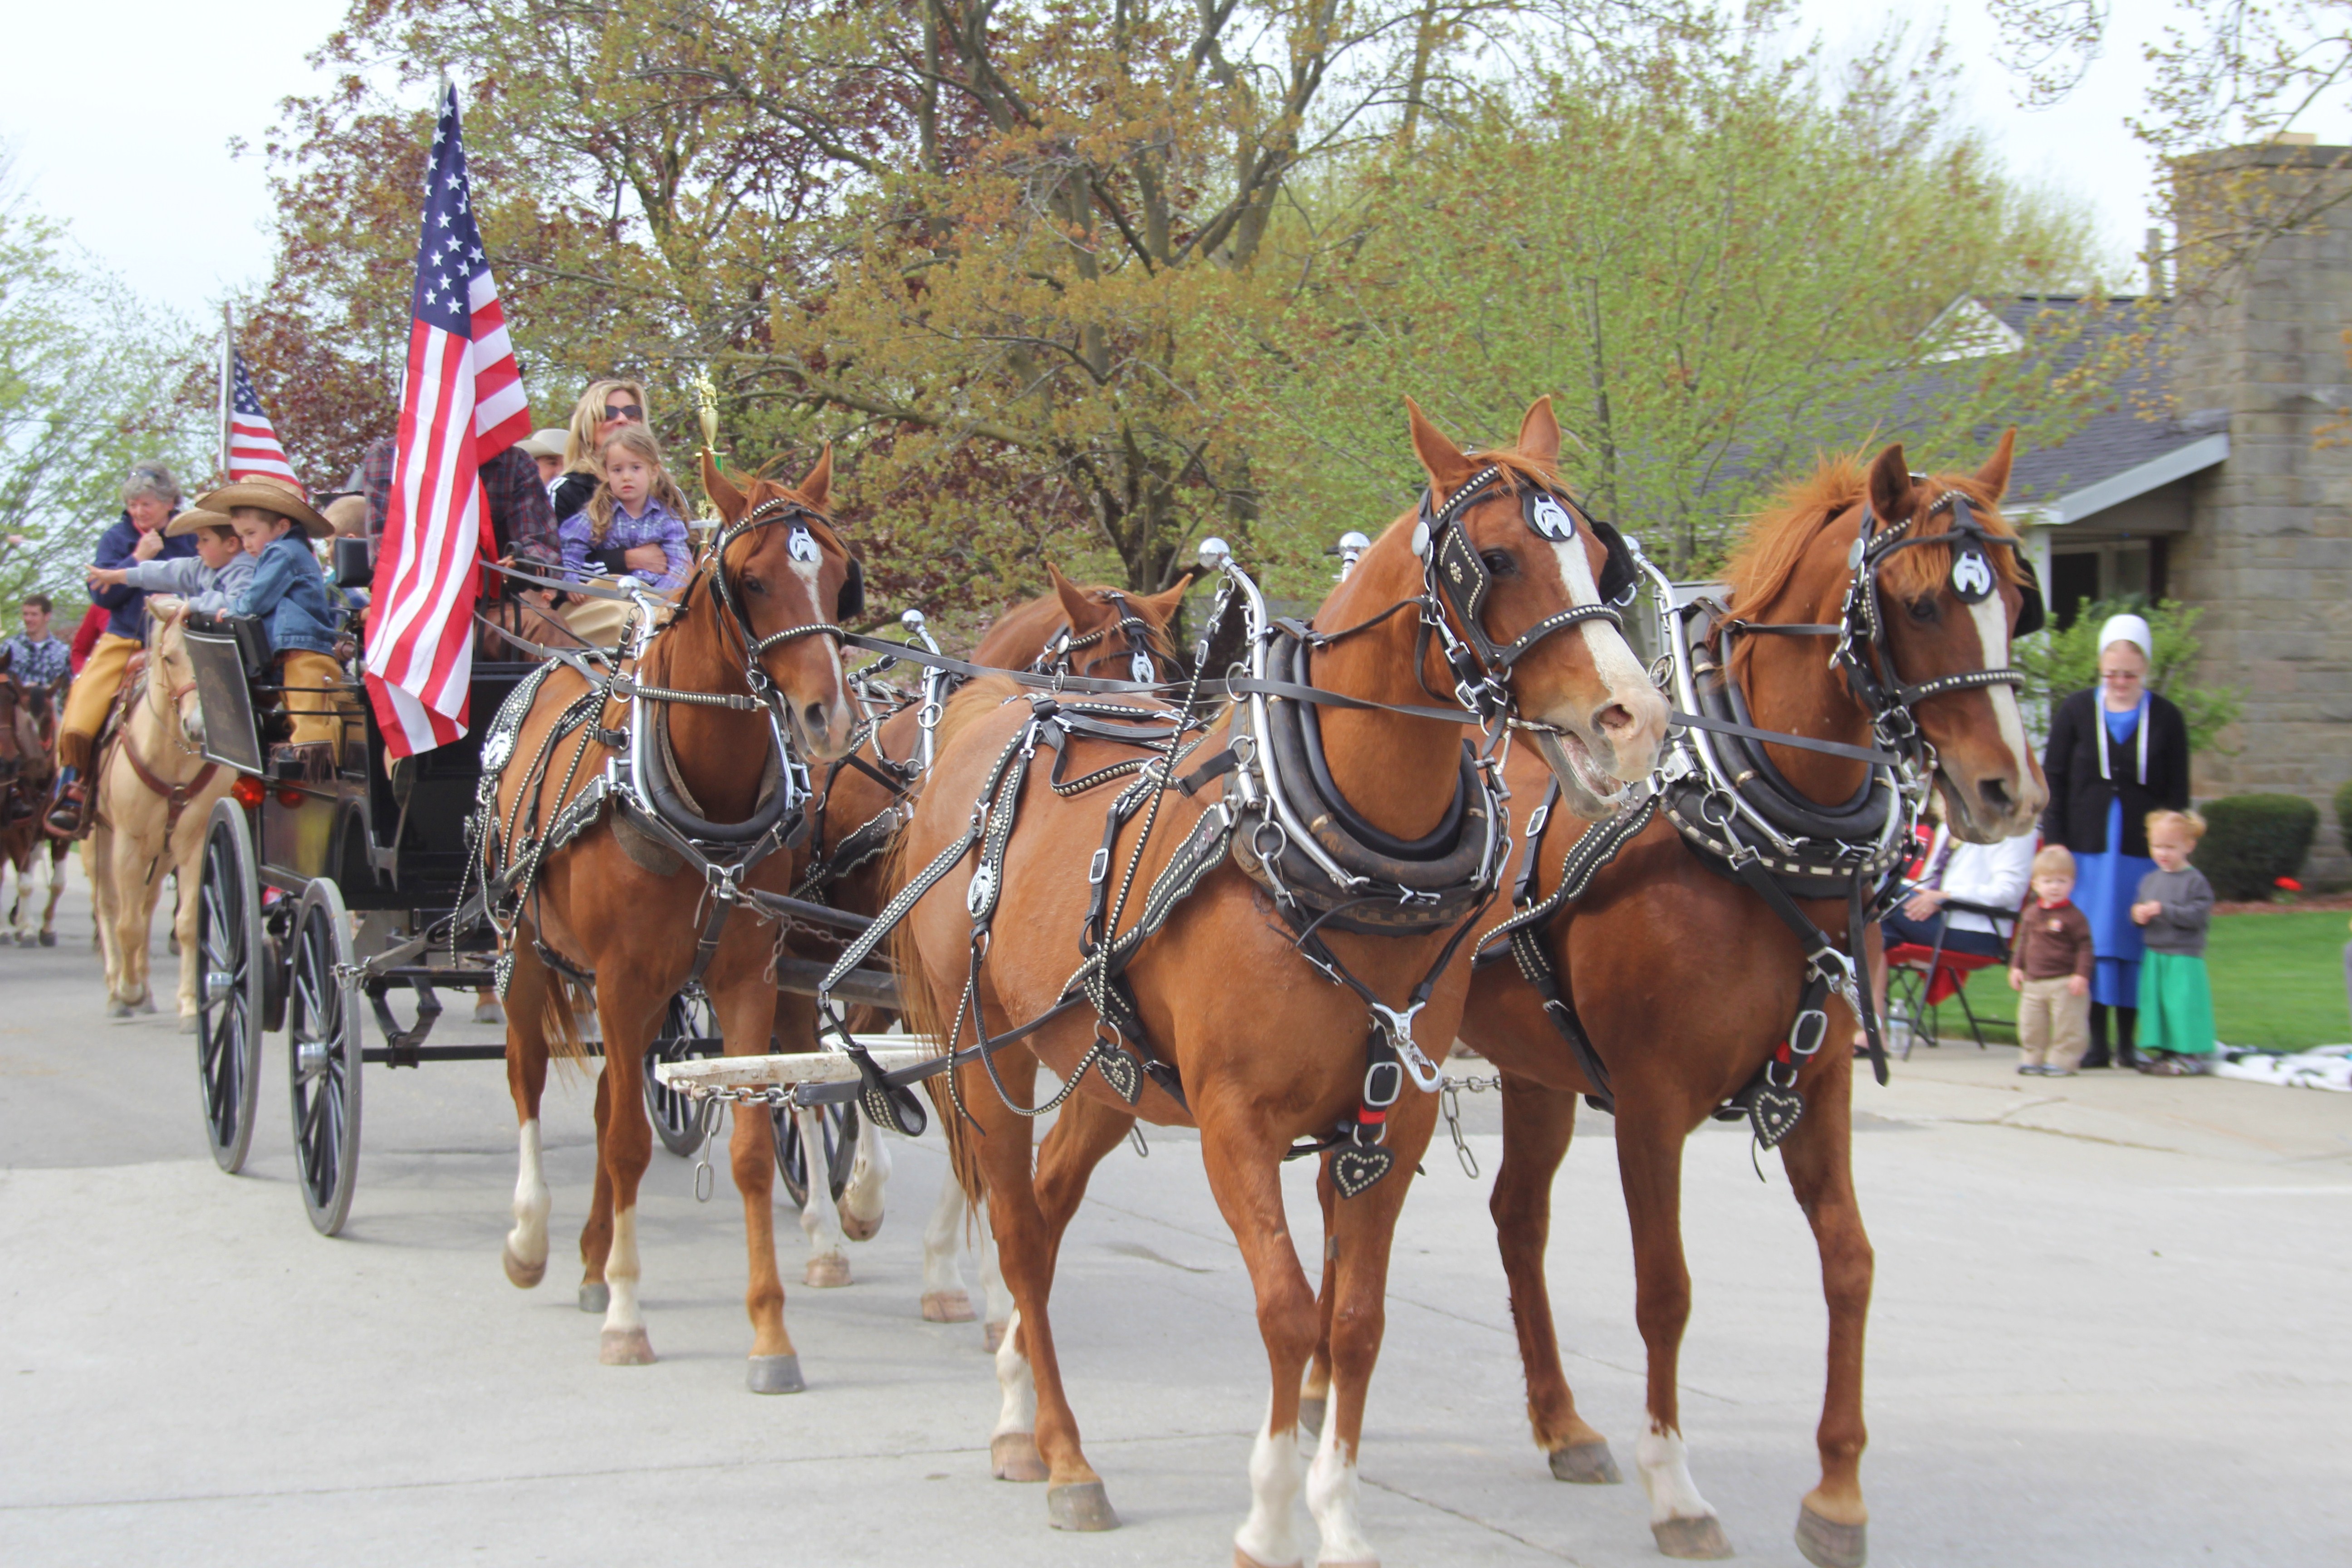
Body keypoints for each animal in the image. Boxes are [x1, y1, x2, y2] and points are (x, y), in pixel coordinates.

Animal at [84, 597, 231, 1020]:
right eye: (169, 657)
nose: (198, 726)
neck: (172, 762)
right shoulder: (127, 843)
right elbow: (127, 924)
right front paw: (128, 990)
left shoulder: (194, 844)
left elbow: (187, 923)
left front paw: (189, 1004)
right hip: (97, 841)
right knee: (109, 905)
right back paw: (119, 989)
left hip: (161, 853)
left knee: (146, 905)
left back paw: (146, 989)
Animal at [491, 451, 861, 1382]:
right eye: (753, 580)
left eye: (840, 577)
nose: (829, 717)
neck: (705, 801)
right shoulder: (621, 981)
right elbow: (626, 1141)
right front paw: (626, 1318)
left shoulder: (740, 982)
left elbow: (752, 1148)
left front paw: (770, 1335)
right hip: (525, 950)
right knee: (527, 1077)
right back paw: (531, 1239)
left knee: (606, 1100)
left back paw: (591, 1257)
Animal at [884, 399, 1675, 1551]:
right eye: (1492, 559)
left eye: (1601, 560)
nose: (1635, 719)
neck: (1328, 852)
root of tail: (989, 721)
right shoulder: (1234, 1120)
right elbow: (1288, 1308)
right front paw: (1266, 1515)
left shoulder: (1386, 1123)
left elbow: (1355, 1318)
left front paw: (1337, 1517)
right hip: (984, 1052)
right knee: (1022, 1237)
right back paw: (1064, 1453)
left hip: (1109, 1072)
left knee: (1049, 1204)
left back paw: (1018, 1413)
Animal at [1430, 439, 2041, 1568]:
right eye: (1923, 601)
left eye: (2019, 601)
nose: (2009, 792)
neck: (1750, 836)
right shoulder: (1652, 1102)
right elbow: (1665, 1290)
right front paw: (1677, 1491)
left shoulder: (1821, 1083)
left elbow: (1850, 1263)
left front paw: (1837, 1494)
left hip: (1537, 1070)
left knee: (1517, 1220)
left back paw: (1563, 1423)